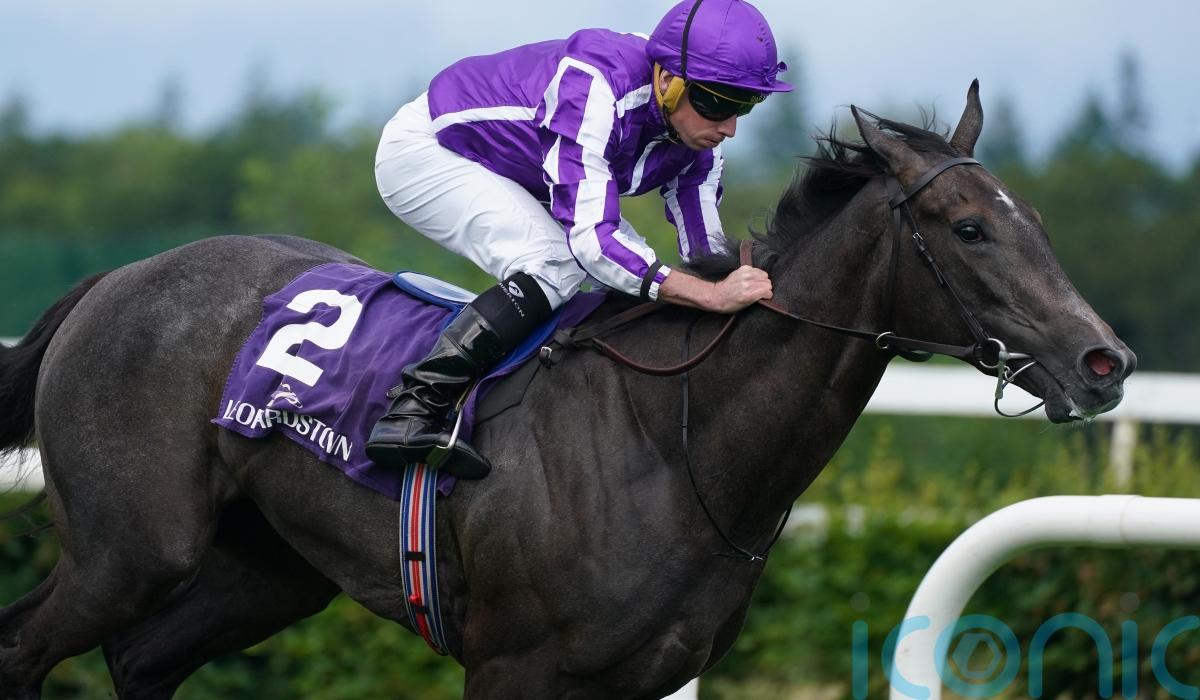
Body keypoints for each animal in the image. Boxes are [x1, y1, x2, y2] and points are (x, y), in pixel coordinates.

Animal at [0, 82, 1134, 699]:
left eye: (1033, 216)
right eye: (970, 228)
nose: (1103, 361)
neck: (675, 447)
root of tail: (120, 277)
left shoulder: (640, 678)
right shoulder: (511, 665)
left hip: (266, 569)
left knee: (143, 660)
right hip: (129, 549)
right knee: (25, 644)